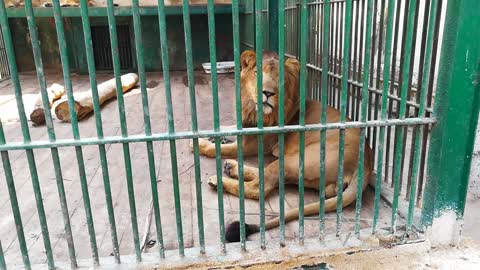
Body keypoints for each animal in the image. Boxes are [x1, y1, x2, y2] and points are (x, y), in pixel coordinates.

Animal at [193, 49, 374, 242]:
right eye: (257, 73)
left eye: (279, 78)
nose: (267, 93)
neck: (252, 109)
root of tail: (366, 163)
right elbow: (225, 129)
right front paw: (205, 134)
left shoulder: (253, 145)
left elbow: (217, 149)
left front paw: (199, 143)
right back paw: (231, 167)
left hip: (296, 160)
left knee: (259, 188)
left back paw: (219, 180)